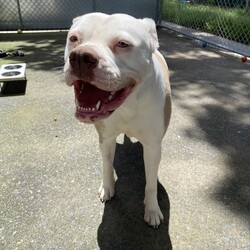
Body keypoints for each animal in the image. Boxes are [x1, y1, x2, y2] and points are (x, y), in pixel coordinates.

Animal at [63, 12, 171, 228]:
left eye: (122, 44)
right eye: (74, 38)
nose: (80, 57)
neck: (127, 104)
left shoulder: (153, 147)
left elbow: (151, 183)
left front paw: (152, 209)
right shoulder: (106, 138)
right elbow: (106, 165)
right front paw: (107, 188)